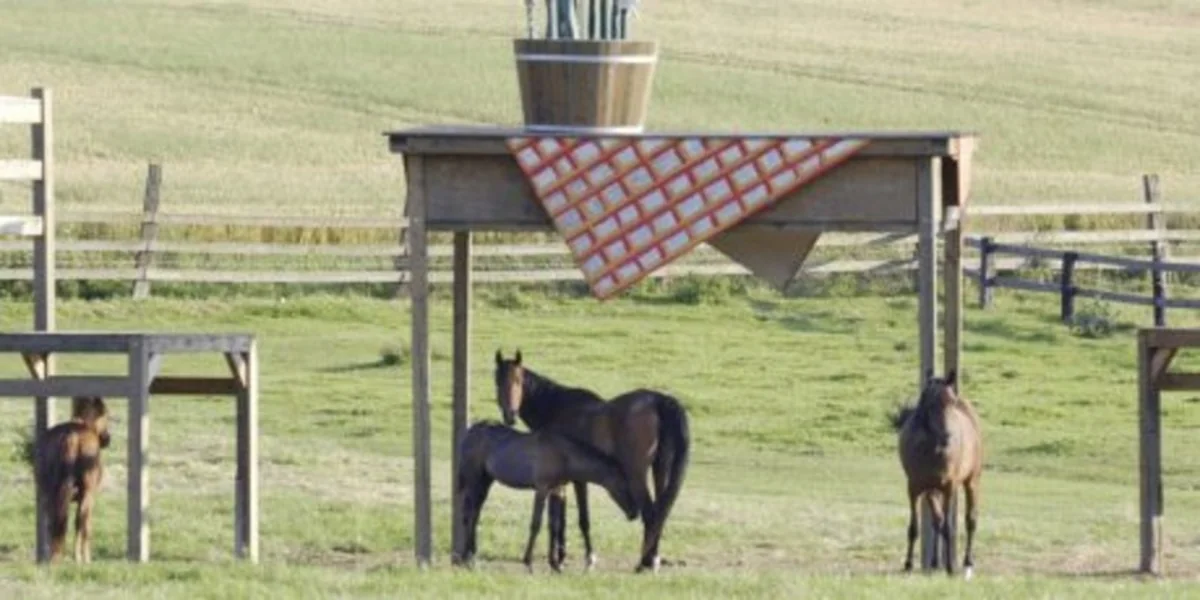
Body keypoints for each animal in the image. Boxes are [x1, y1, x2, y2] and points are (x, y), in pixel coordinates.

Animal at [33, 396, 112, 564]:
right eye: (105, 414)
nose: (107, 438)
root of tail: (72, 436)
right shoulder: (90, 496)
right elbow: (84, 524)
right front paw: (83, 558)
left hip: (49, 492)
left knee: (54, 521)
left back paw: (54, 556)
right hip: (86, 493)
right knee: (80, 522)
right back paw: (80, 558)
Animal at [453, 419, 640, 572]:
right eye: (623, 483)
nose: (634, 513)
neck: (564, 455)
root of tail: (469, 433)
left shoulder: (557, 490)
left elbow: (554, 525)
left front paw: (555, 564)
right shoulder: (542, 489)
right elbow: (536, 524)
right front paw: (528, 561)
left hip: (486, 482)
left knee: (474, 514)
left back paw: (470, 554)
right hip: (475, 481)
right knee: (469, 514)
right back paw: (467, 558)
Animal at [494, 349, 691, 573]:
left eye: (518, 381)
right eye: (497, 382)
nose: (509, 415)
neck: (556, 408)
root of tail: (659, 401)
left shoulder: (575, 480)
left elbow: (580, 518)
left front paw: (585, 559)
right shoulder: (562, 481)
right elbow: (560, 518)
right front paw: (561, 557)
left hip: (637, 474)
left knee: (650, 513)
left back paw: (643, 563)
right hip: (660, 470)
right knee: (660, 511)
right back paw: (654, 559)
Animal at [889, 370, 983, 578]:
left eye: (952, 402)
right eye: (931, 404)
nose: (947, 436)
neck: (933, 450)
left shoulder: (949, 487)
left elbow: (948, 527)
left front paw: (950, 568)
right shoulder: (914, 488)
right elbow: (915, 527)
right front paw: (908, 564)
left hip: (971, 481)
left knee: (970, 520)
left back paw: (967, 562)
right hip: (932, 490)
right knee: (937, 520)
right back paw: (933, 563)